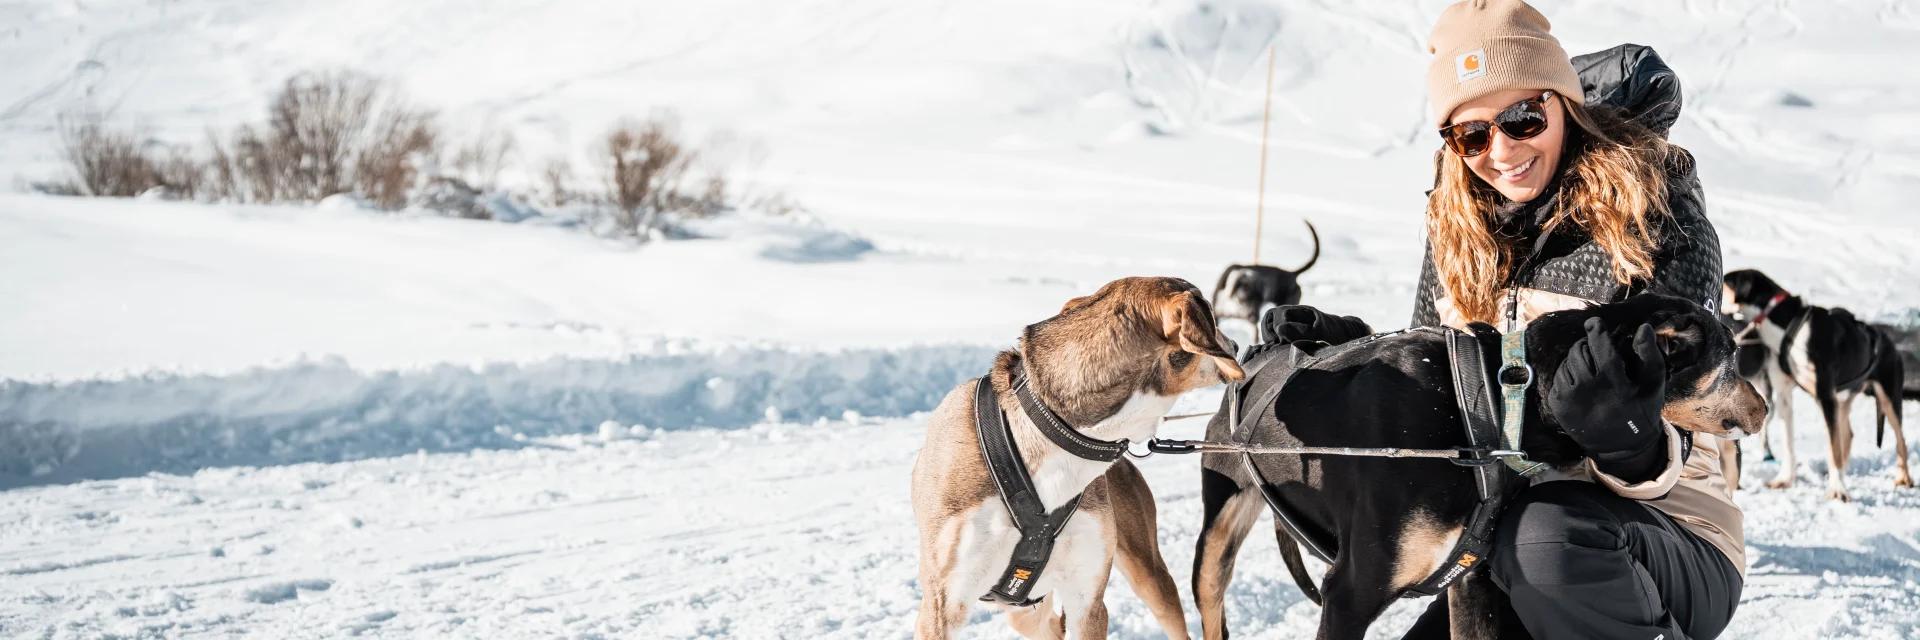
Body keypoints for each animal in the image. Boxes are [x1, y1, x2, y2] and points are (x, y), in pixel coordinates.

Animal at [910, 276, 1244, 634]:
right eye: (1212, 317)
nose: (1238, 345)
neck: (1051, 426)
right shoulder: (942, 606)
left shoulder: (1088, 600)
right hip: (1023, 613)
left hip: (1150, 576)